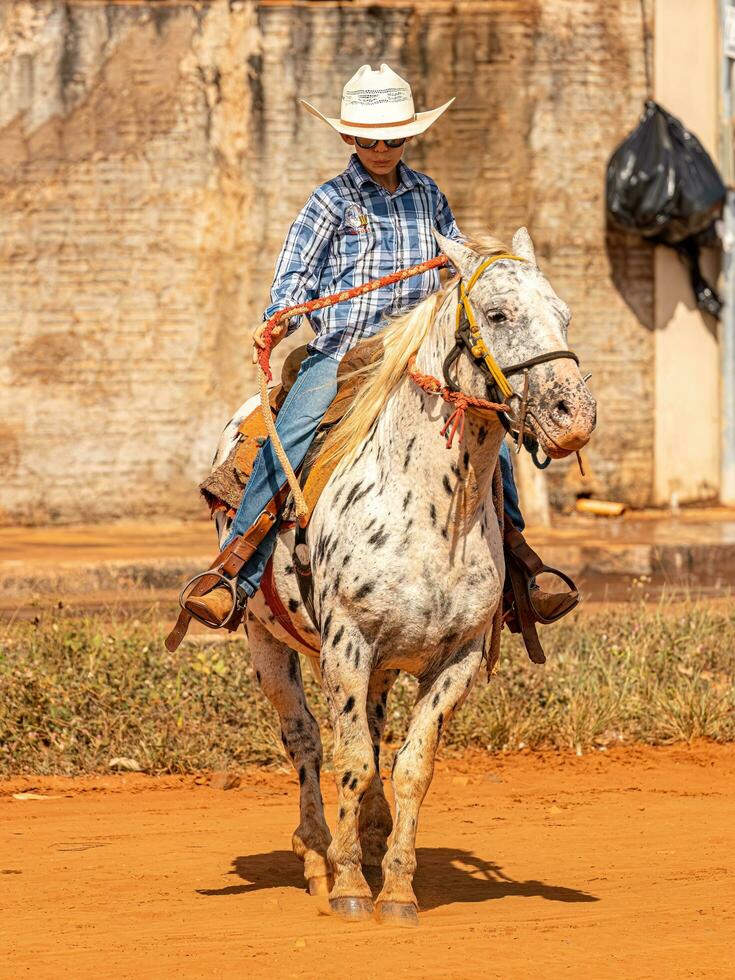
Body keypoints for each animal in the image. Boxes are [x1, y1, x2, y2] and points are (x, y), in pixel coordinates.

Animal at [208, 228, 600, 928]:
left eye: (564, 315)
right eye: (498, 314)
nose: (573, 415)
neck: (430, 512)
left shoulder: (459, 657)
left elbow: (411, 765)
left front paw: (394, 886)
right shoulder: (346, 645)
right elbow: (352, 760)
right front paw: (348, 884)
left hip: (383, 665)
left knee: (365, 731)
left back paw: (367, 834)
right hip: (267, 642)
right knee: (306, 741)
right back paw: (317, 854)